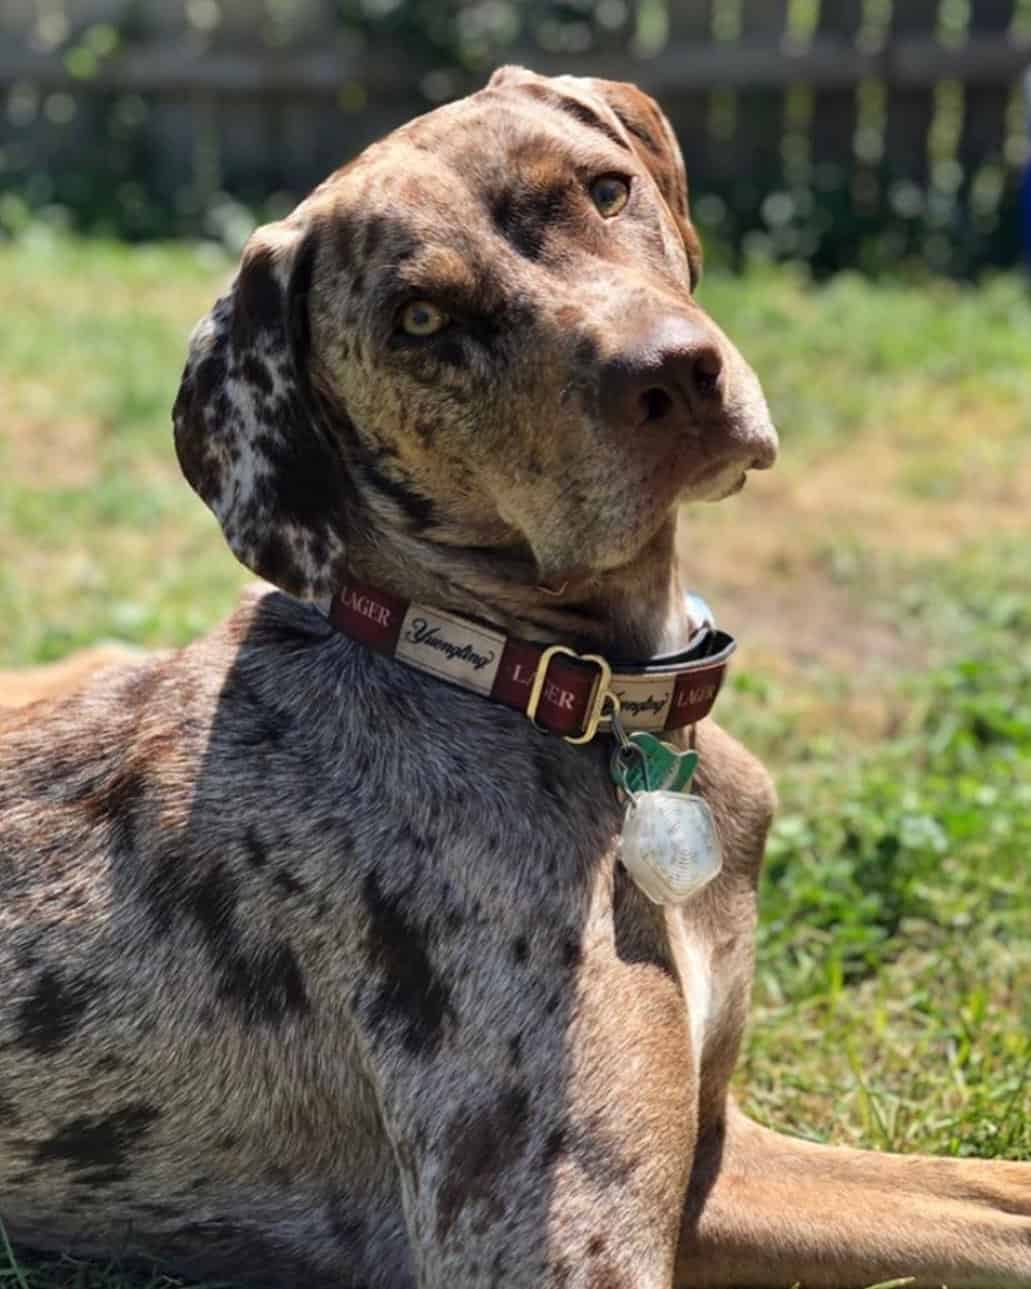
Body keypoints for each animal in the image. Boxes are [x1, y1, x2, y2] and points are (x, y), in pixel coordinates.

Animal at [2, 67, 1031, 1289]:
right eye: (421, 321)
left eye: (605, 188)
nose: (675, 373)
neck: (546, 682)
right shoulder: (563, 1243)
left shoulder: (715, 1145)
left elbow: (994, 1194)